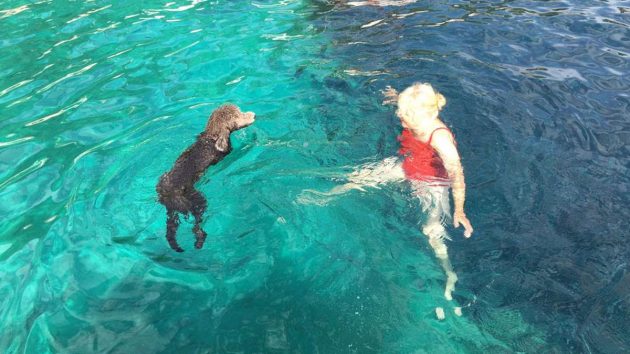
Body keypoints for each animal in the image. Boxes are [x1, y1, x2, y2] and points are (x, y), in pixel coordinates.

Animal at [157, 103, 256, 250]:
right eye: (239, 115)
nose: (253, 114)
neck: (212, 136)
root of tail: (168, 196)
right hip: (197, 200)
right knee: (196, 222)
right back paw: (200, 239)